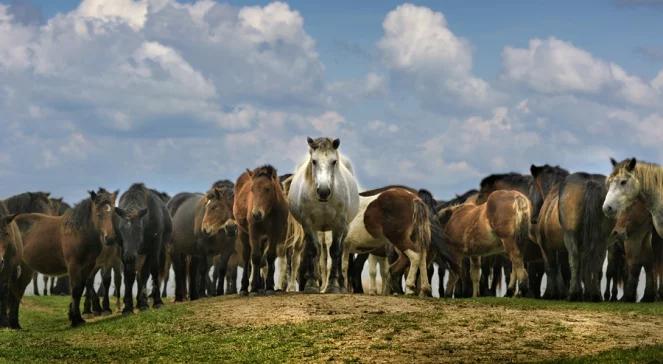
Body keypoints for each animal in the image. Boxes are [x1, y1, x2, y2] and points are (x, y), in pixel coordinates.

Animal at [13, 189, 116, 328]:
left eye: (113, 214)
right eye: (99, 214)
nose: (110, 239)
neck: (77, 232)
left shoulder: (88, 266)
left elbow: (80, 289)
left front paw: (77, 317)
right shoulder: (74, 266)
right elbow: (76, 290)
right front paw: (75, 320)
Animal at [114, 183, 172, 314]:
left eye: (139, 228)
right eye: (121, 228)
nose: (129, 256)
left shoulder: (152, 248)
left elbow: (149, 272)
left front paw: (152, 302)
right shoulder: (123, 251)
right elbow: (129, 276)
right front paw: (128, 307)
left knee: (151, 272)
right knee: (139, 275)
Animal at [235, 165, 290, 296]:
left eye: (268, 189)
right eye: (252, 189)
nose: (256, 214)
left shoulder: (274, 233)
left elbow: (270, 256)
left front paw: (269, 287)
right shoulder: (254, 232)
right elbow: (255, 257)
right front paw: (253, 288)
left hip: (263, 239)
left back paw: (260, 287)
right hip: (243, 232)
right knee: (246, 257)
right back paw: (244, 288)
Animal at [286, 136, 358, 292]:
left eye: (334, 161)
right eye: (314, 161)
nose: (323, 191)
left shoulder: (338, 225)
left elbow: (335, 251)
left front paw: (334, 285)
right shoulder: (308, 224)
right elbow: (313, 250)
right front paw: (311, 284)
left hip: (344, 228)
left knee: (340, 251)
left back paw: (341, 284)